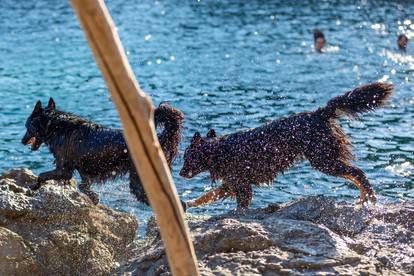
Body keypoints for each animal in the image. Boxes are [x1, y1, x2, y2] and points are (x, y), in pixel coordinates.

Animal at [21, 98, 184, 206]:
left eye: (27, 126)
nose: (22, 141)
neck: (54, 126)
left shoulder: (63, 170)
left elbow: (41, 176)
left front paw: (32, 188)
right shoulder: (82, 172)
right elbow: (84, 186)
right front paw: (93, 198)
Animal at [181, 83, 394, 208]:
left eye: (188, 158)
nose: (181, 173)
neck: (219, 151)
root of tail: (319, 113)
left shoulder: (241, 184)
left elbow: (237, 204)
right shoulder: (232, 183)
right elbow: (207, 196)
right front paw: (189, 202)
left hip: (323, 160)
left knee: (357, 172)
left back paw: (369, 198)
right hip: (326, 159)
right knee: (355, 174)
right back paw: (363, 198)